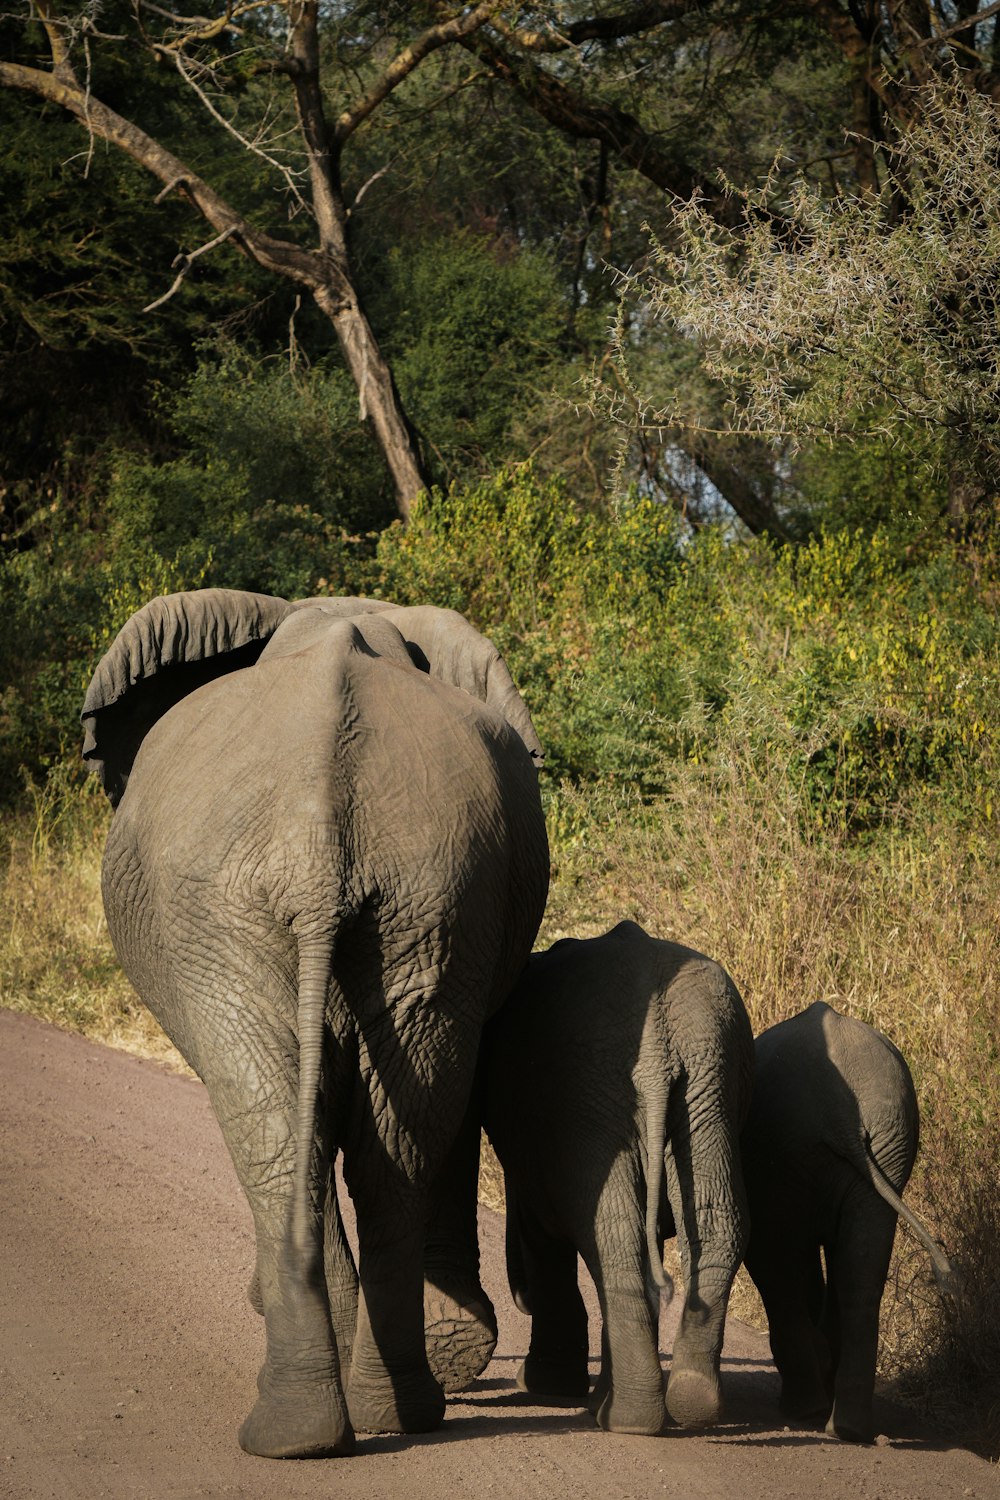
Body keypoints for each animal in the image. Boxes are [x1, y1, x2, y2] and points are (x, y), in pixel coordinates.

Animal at [82, 591, 551, 1458]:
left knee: (287, 1131)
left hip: (321, 903)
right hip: (416, 896)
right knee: (375, 1140)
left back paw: (321, 1421)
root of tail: (318, 836)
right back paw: (362, 1418)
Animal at [482, 918, 749, 1434]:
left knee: (612, 1237)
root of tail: (658, 1055)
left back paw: (625, 1419)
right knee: (709, 1225)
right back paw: (688, 1404)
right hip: (707, 1078)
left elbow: (542, 1235)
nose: (519, 1300)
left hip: (603, 1093)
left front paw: (546, 1386)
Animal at [746, 1002, 959, 1446]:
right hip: (888, 1140)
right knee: (860, 1273)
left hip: (812, 1146)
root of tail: (842, 1111)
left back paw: (813, 1412)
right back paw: (846, 1427)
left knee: (788, 1264)